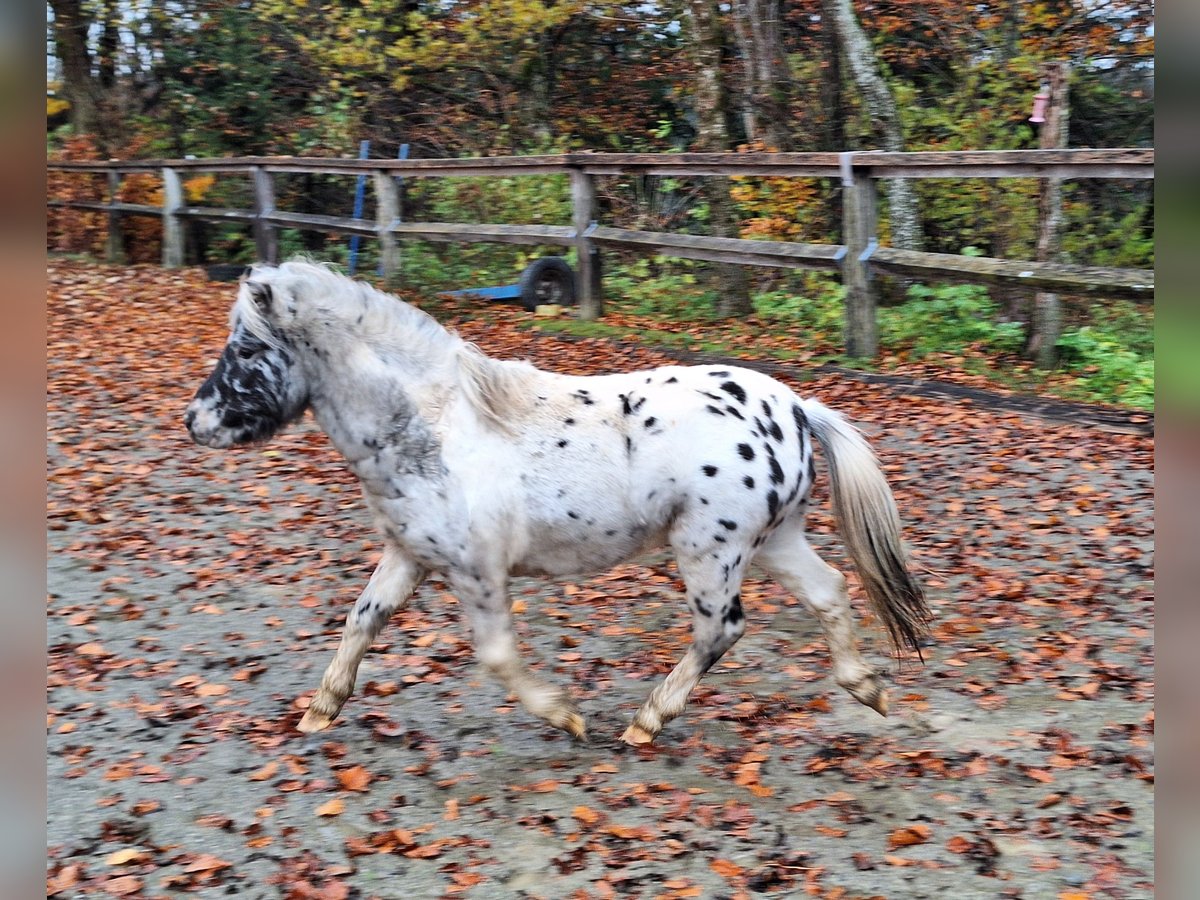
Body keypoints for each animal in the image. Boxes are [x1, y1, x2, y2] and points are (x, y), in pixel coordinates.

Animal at [189, 260, 936, 748]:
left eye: (248, 348)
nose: (196, 421)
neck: (434, 424)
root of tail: (797, 408)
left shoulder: (476, 571)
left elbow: (496, 655)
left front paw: (566, 716)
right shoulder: (409, 554)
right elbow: (361, 620)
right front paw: (320, 710)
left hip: (711, 549)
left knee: (720, 630)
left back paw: (645, 721)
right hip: (774, 540)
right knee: (829, 591)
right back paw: (866, 688)